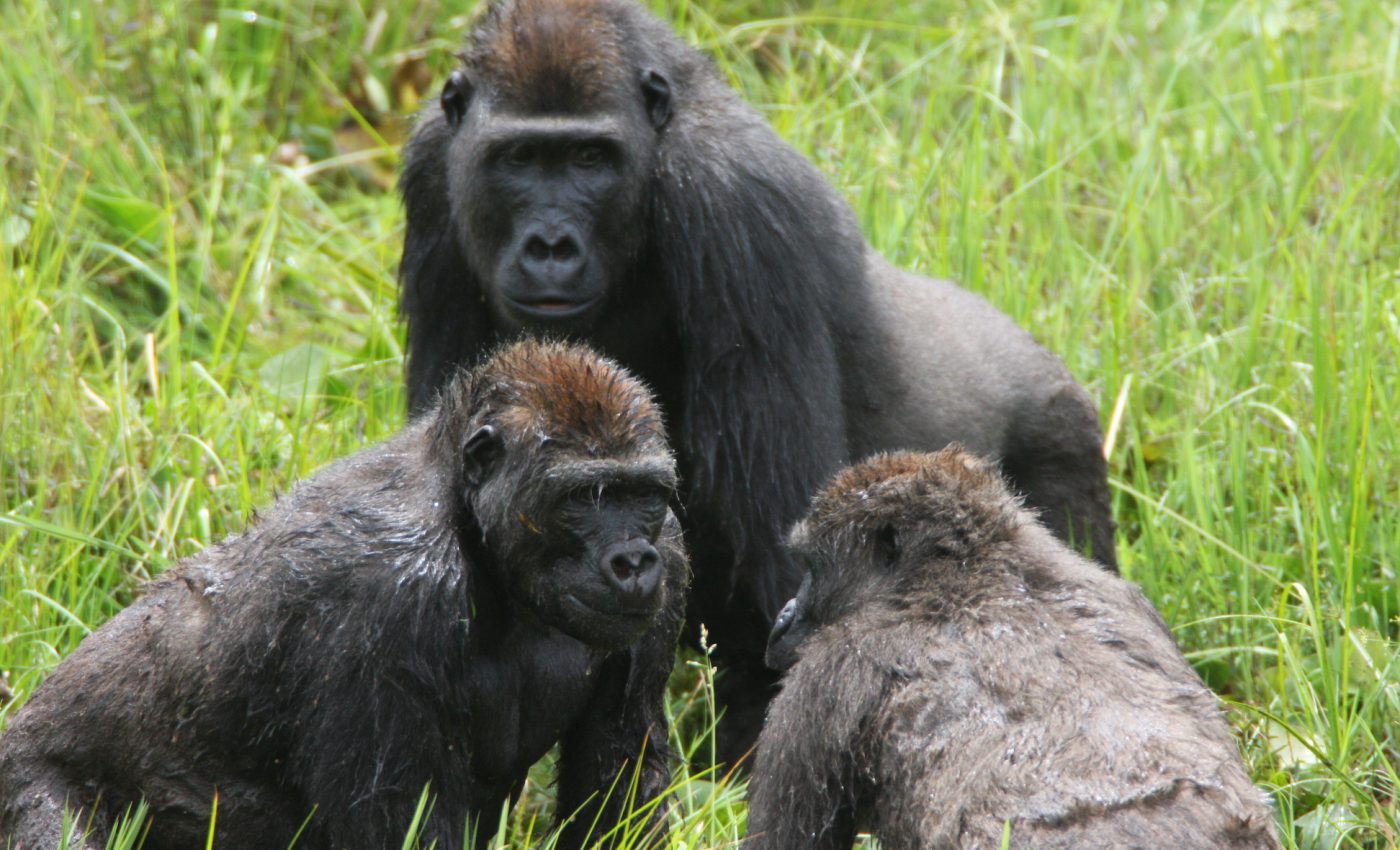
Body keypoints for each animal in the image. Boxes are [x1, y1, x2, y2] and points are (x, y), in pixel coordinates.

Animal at [0, 339, 687, 850]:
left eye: (644, 495)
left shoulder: (674, 555)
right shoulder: (387, 601)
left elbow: (618, 785)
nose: (633, 561)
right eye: (584, 497)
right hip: (29, 782)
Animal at [398, 0, 1116, 763]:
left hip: (1058, 442)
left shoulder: (738, 206)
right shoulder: (431, 170)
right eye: (519, 159)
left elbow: (781, 543)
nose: (550, 247)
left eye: (590, 159)